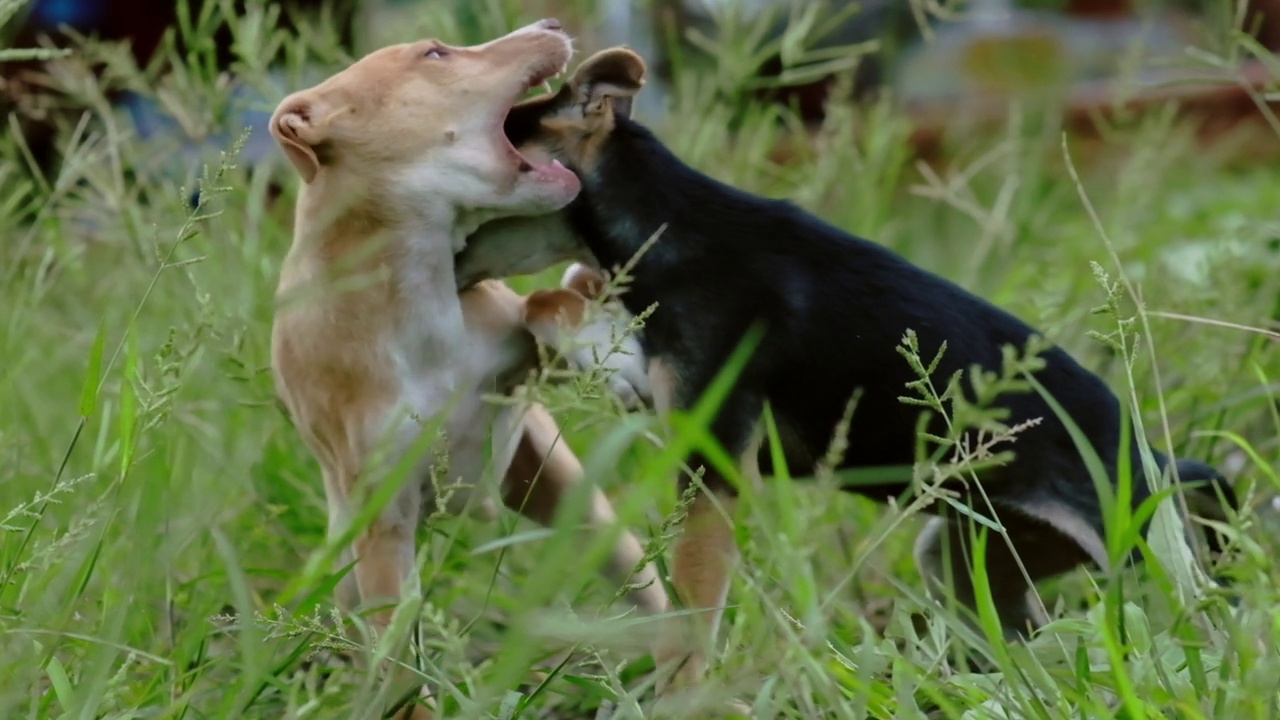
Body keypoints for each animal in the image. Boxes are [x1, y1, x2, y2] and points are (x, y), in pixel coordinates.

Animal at [270, 19, 670, 712]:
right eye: (435, 54)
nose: (552, 24)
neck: (414, 294)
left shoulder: (518, 360)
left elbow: (543, 303)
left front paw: (604, 351)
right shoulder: (383, 527)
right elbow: (400, 664)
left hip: (569, 496)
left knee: (648, 590)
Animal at [455, 49, 1233, 702]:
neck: (670, 223)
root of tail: (1148, 454)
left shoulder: (714, 461)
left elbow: (694, 607)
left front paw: (681, 694)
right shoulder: (669, 390)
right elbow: (553, 302)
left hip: (1135, 554)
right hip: (968, 560)